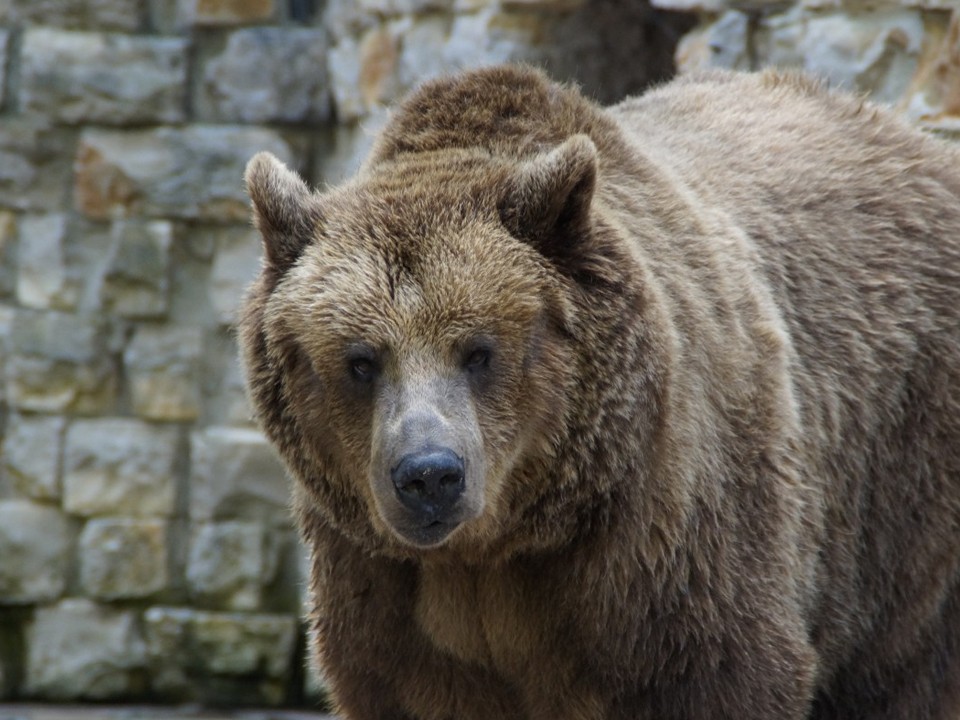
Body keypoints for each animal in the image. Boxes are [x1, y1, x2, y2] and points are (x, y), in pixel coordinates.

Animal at [238, 64, 960, 716]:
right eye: (361, 361)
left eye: (478, 351)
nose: (430, 475)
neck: (502, 547)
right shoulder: (385, 593)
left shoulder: (669, 556)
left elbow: (723, 671)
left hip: (900, 492)